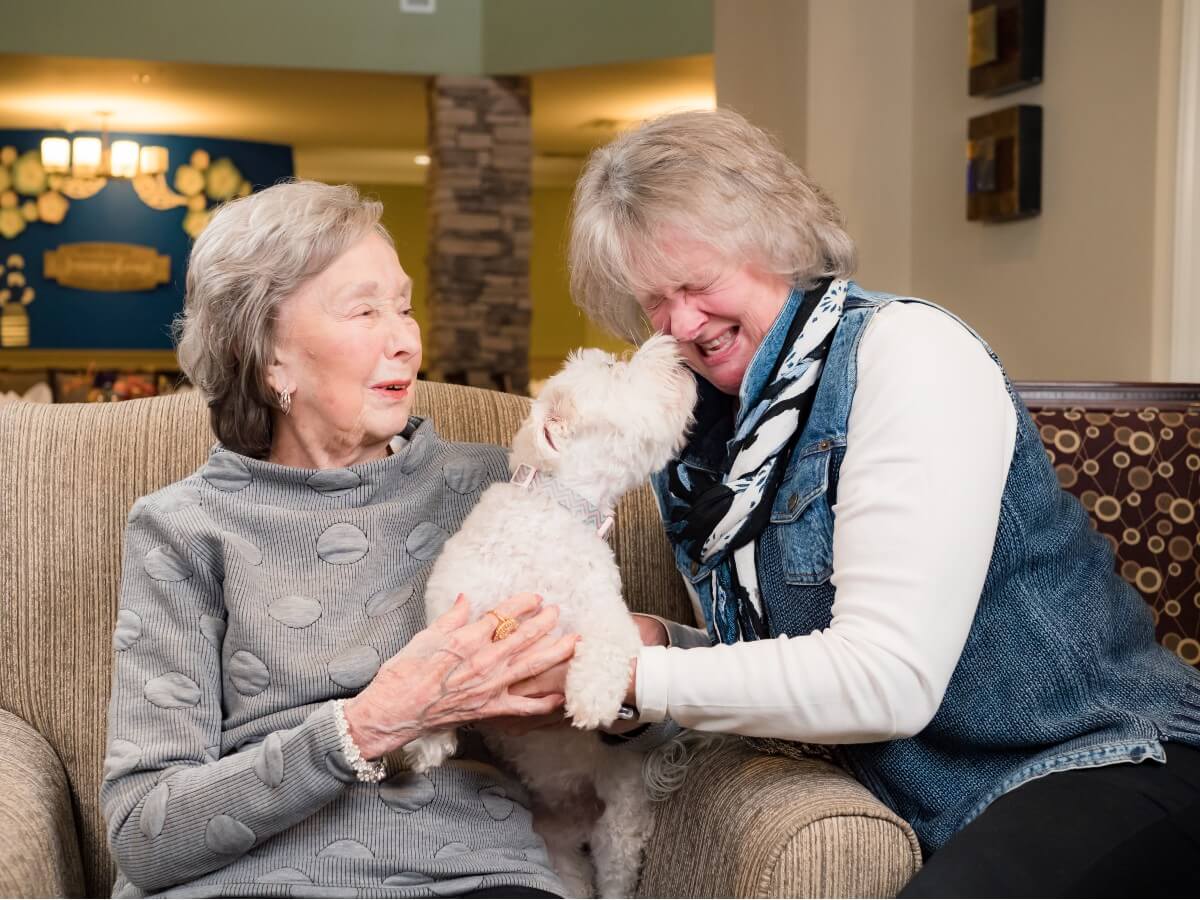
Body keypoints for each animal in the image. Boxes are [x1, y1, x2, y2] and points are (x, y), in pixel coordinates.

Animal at [408, 336, 700, 897]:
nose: (670, 345)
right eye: (613, 370)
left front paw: (592, 698)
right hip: (559, 852)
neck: (556, 513)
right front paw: (430, 740)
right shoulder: (455, 605)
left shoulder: (609, 615)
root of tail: (577, 817)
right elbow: (440, 659)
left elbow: (607, 646)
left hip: (618, 831)